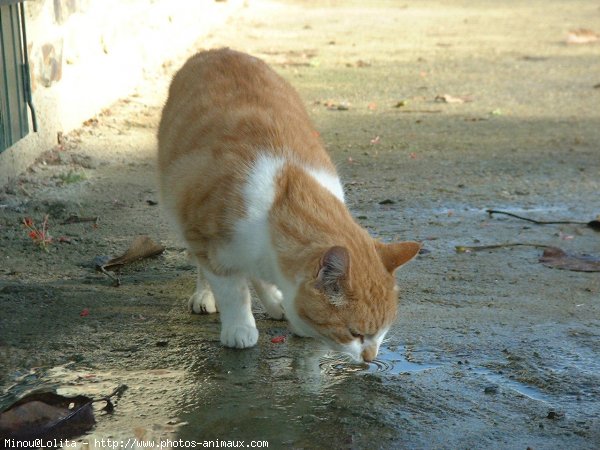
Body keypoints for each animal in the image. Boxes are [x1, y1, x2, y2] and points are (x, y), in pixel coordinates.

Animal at [157, 48, 420, 362]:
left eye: (382, 331)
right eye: (355, 333)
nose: (370, 359)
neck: (282, 193)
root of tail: (216, 50)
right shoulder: (205, 236)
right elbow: (232, 290)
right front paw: (239, 327)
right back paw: (205, 295)